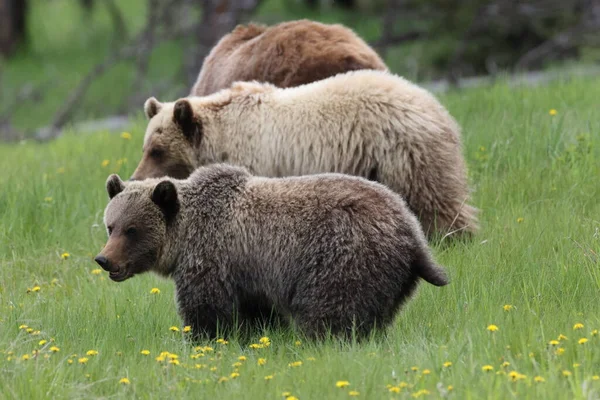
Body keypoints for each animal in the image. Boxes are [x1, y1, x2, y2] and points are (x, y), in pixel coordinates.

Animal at [95, 164, 450, 340]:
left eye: (132, 230)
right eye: (111, 226)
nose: (104, 259)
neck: (185, 236)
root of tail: (413, 231)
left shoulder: (212, 260)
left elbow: (206, 309)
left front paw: (201, 340)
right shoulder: (251, 275)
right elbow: (259, 314)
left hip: (344, 256)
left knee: (332, 311)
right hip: (388, 276)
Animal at [131, 69, 478, 238]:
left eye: (158, 151)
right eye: (146, 147)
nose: (135, 177)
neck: (221, 138)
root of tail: (434, 104)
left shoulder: (257, 160)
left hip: (403, 152)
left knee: (436, 202)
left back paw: (456, 238)